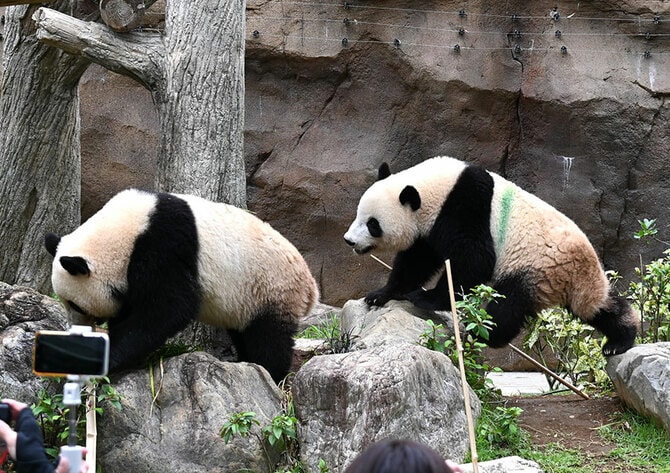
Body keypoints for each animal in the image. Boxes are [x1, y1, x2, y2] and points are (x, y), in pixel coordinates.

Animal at [44, 187, 320, 380]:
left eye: (75, 305)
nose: (76, 328)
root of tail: (310, 285)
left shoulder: (163, 245)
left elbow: (168, 308)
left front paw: (107, 360)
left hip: (270, 287)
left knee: (269, 337)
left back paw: (271, 372)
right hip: (246, 300)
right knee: (244, 331)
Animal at [346, 157, 640, 356]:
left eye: (372, 224)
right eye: (358, 214)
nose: (349, 241)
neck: (436, 188)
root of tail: (577, 270)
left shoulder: (465, 208)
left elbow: (474, 260)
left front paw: (427, 297)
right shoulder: (428, 229)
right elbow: (416, 261)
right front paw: (381, 294)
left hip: (534, 266)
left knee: (508, 304)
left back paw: (484, 333)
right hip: (572, 281)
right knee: (597, 306)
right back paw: (621, 338)